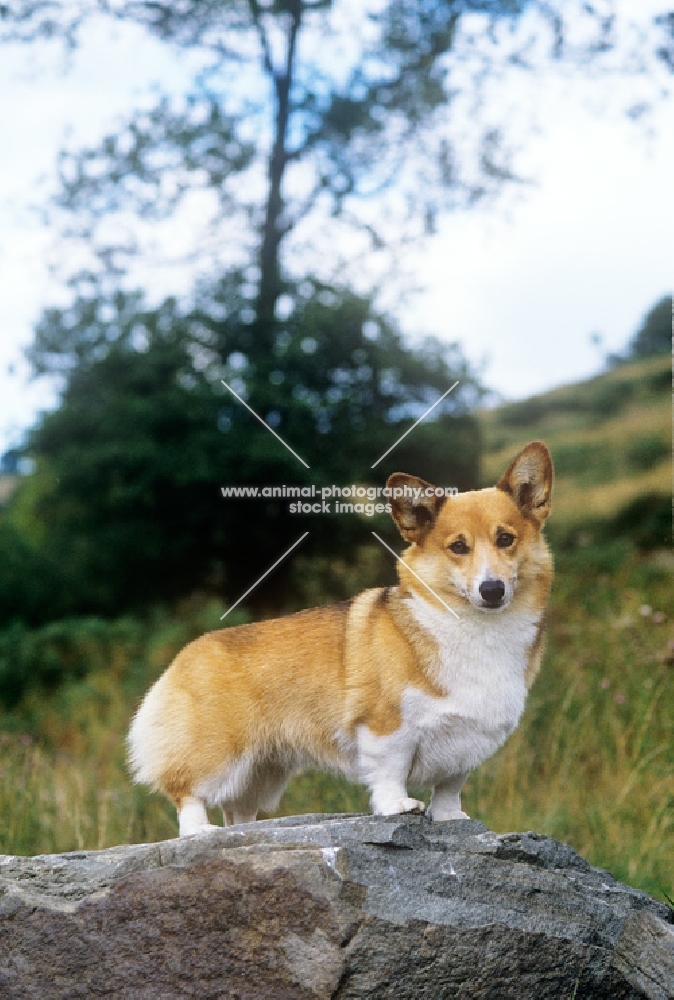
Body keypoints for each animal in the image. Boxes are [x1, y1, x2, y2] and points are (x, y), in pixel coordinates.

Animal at [127, 442, 552, 832]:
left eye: (505, 539)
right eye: (458, 547)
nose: (492, 590)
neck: (477, 629)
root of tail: (182, 656)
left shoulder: (467, 742)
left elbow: (449, 787)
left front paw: (450, 818)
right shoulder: (386, 727)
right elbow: (390, 772)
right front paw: (399, 806)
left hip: (259, 771)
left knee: (238, 811)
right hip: (216, 755)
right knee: (187, 794)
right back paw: (200, 830)